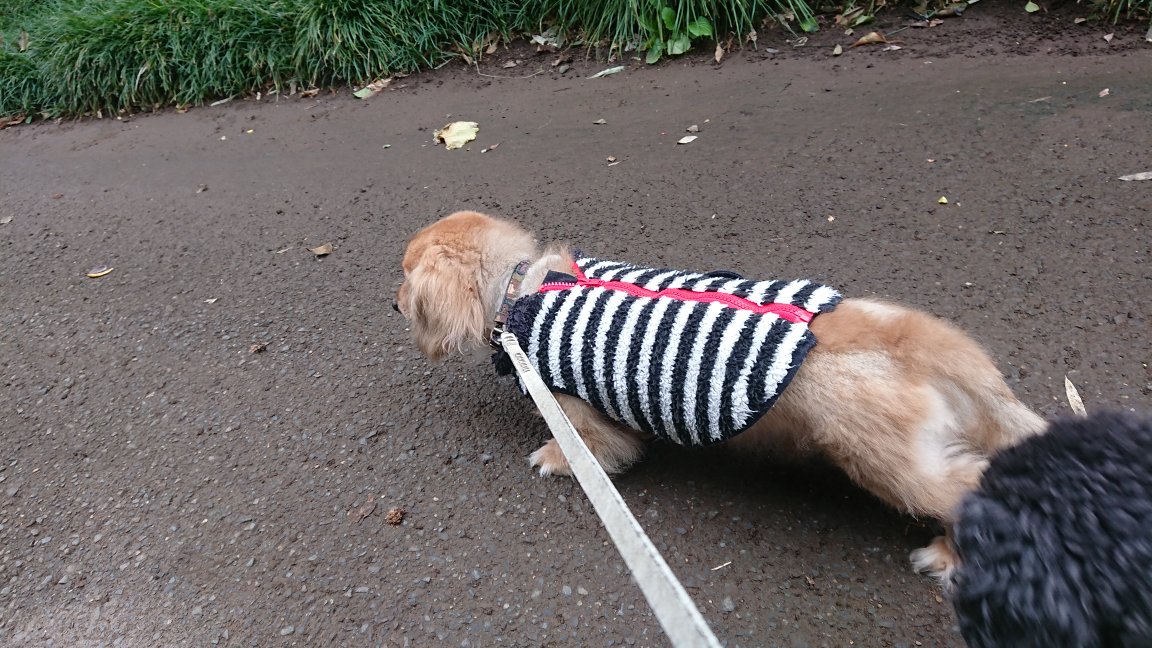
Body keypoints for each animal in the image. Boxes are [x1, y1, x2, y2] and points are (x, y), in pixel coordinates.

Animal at [394, 210, 1047, 579]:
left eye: (403, 278)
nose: (392, 304)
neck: (520, 292)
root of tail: (915, 339)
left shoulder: (584, 413)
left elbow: (594, 449)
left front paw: (555, 460)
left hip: (893, 463)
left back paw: (952, 557)